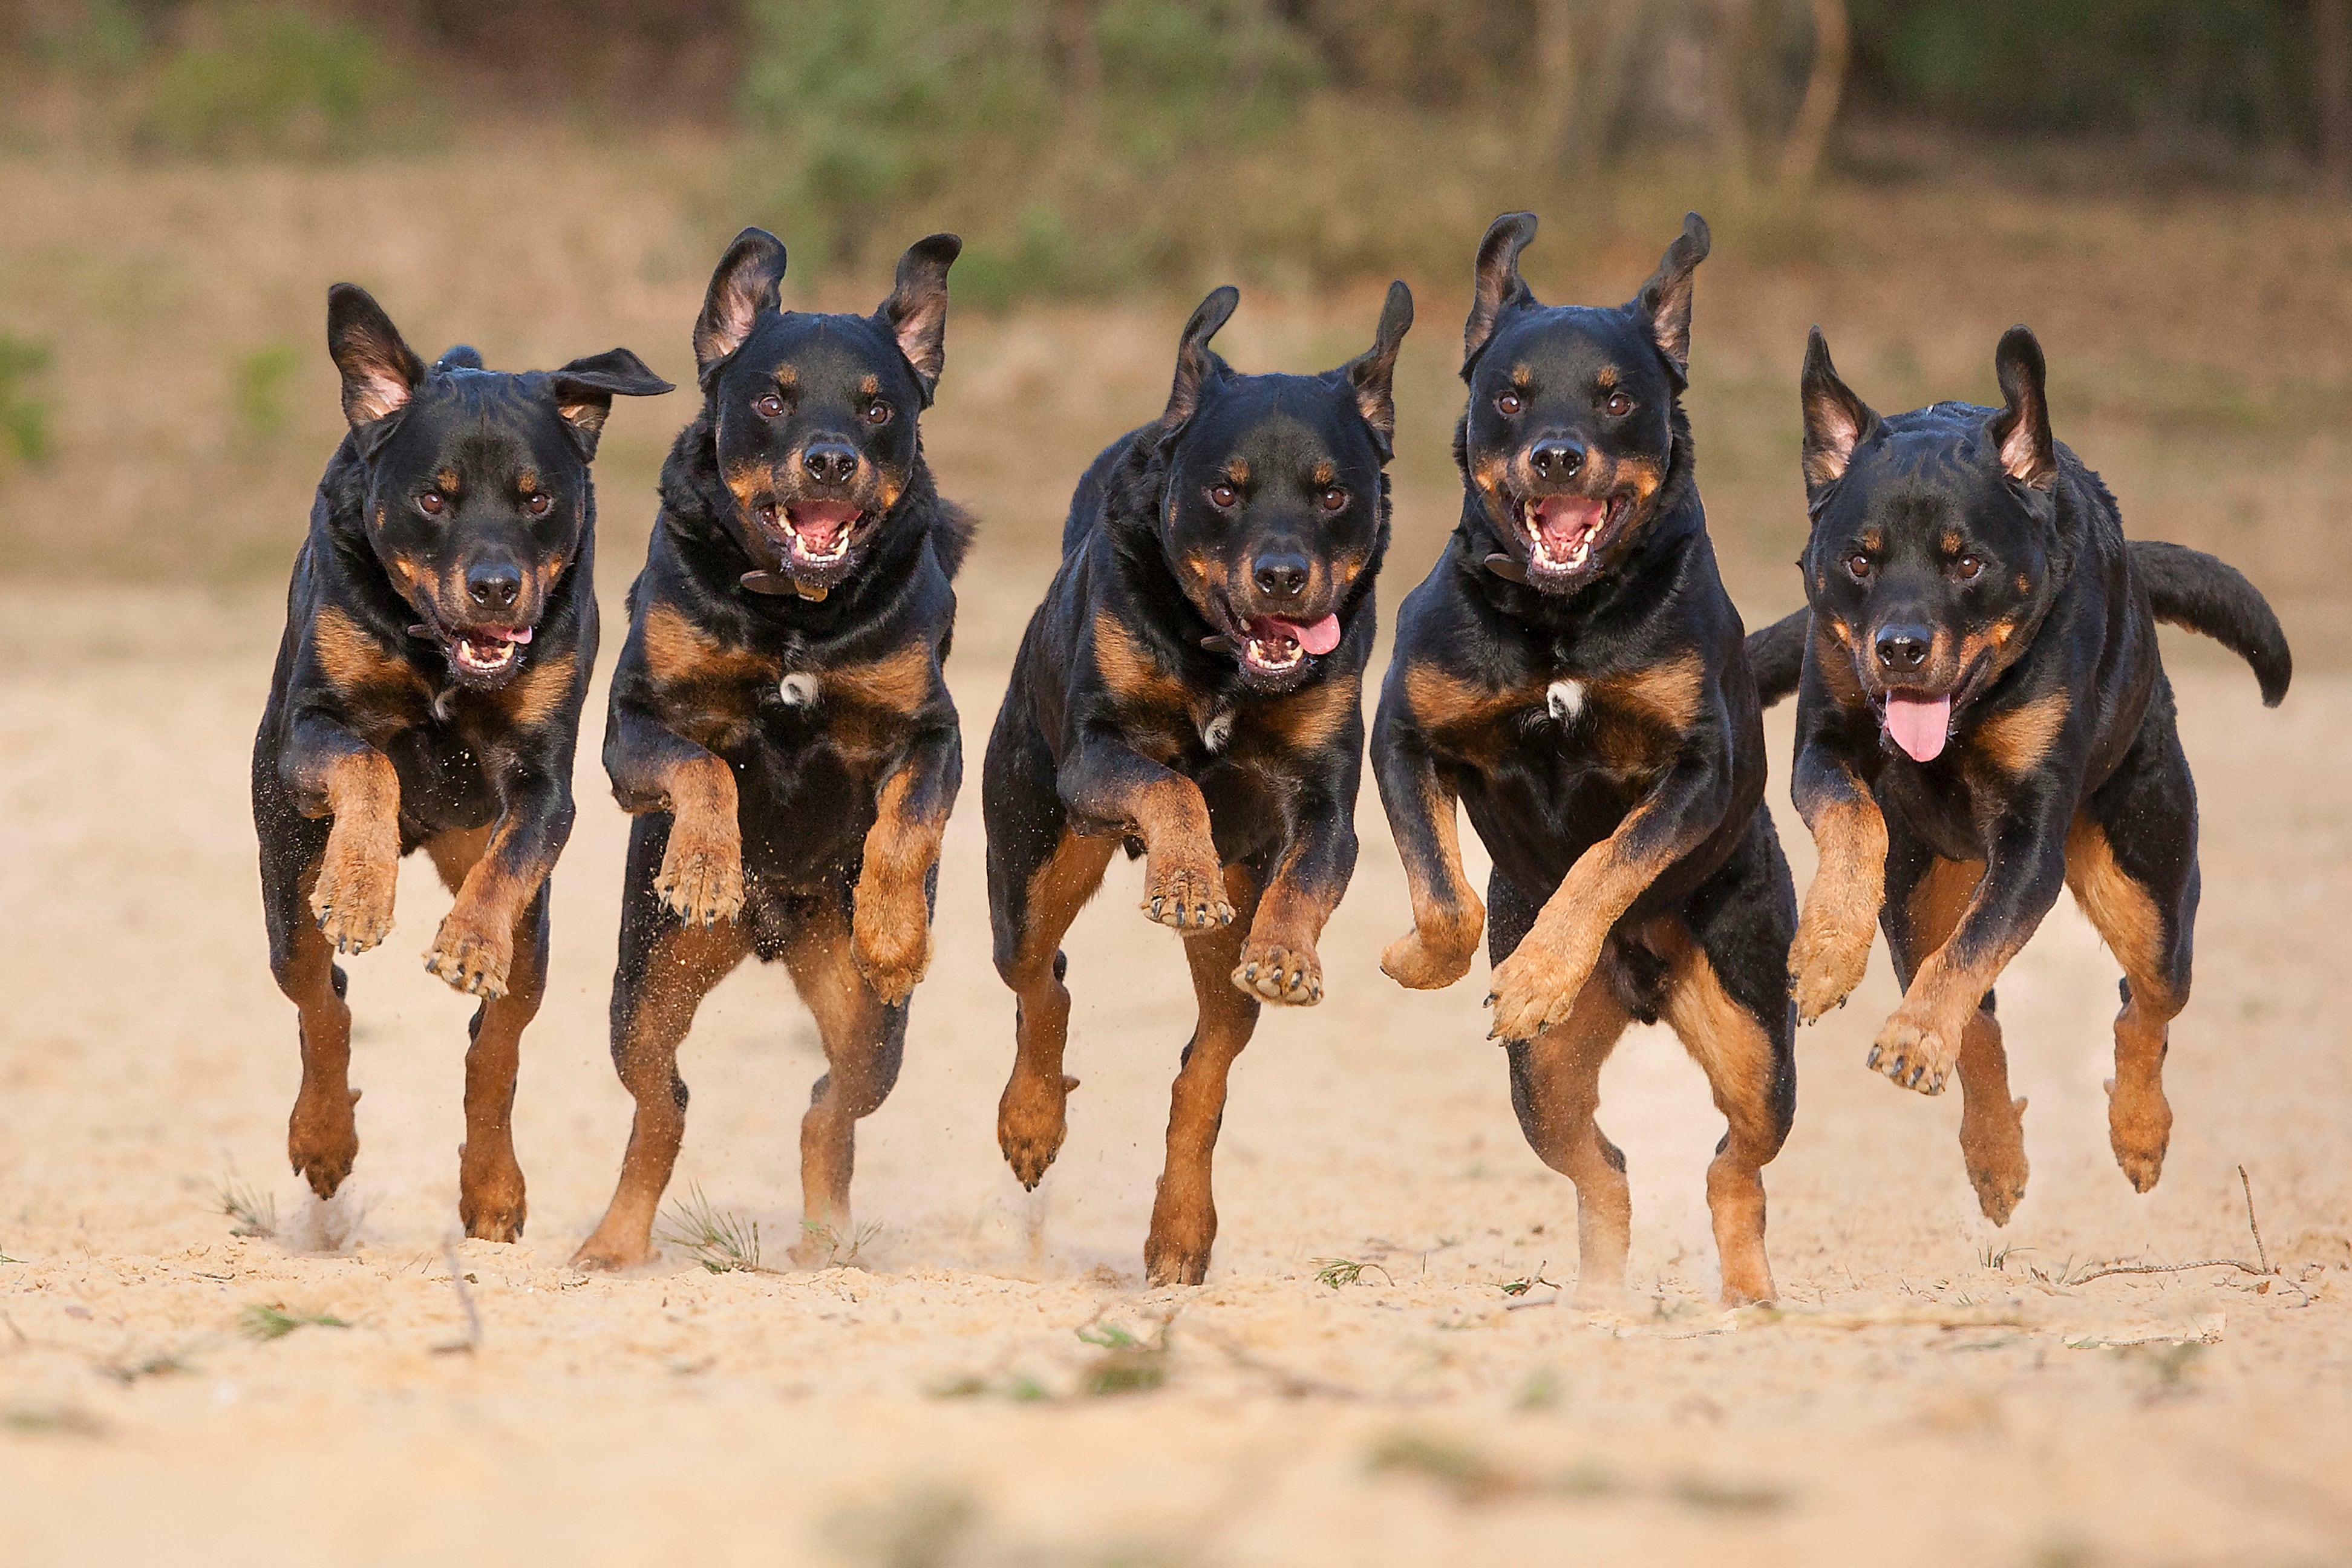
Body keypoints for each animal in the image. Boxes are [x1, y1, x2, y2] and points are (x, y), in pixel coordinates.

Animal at [250, 282, 672, 1241]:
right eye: (434, 500)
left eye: (538, 500)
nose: (495, 587)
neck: (442, 658)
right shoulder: (311, 731)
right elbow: (368, 766)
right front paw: (361, 892)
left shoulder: (546, 786)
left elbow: (512, 861)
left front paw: (470, 941)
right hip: (283, 874)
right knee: (320, 997)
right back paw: (322, 1139)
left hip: (535, 937)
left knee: (497, 1048)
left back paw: (492, 1190)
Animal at [569, 227, 964, 1269]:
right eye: (772, 399)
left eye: (877, 406)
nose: (829, 462)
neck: (795, 613)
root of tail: (773, 928)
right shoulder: (633, 728)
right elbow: (703, 767)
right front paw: (706, 866)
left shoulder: (934, 732)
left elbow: (908, 820)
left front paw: (894, 930)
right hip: (646, 985)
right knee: (662, 1100)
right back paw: (613, 1245)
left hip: (868, 1027)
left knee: (832, 1103)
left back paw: (823, 1244)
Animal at [978, 282, 1402, 1288]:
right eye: (1224, 489)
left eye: (1333, 491)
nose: (1283, 576)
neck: (1226, 665)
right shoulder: (1097, 754)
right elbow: (1174, 788)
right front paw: (1181, 880)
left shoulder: (1326, 804)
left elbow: (1309, 873)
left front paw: (1287, 954)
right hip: (1028, 862)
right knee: (1041, 979)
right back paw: (1032, 1122)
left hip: (1221, 948)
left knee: (1202, 1065)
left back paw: (1179, 1233)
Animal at [1373, 211, 1787, 1316]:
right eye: (1510, 394)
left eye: (1616, 396)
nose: (1557, 457)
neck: (1564, 616)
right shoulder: (1405, 735)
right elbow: (1445, 898)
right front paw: (1426, 961)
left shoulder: (1700, 768)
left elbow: (1610, 858)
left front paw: (1537, 973)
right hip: (1543, 1081)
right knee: (1603, 1166)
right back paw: (1598, 1295)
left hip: (1754, 1041)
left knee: (1734, 1165)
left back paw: (1749, 1294)